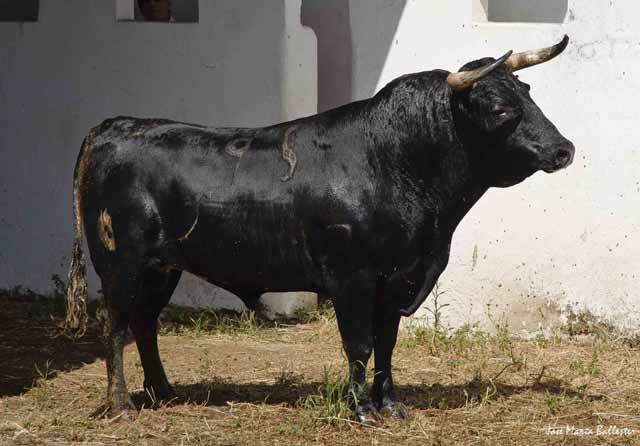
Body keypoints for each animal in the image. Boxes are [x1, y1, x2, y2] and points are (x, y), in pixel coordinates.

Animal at [65, 35, 576, 422]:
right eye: (499, 107)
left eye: (528, 93)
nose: (564, 149)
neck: (395, 162)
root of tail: (115, 126)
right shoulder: (351, 277)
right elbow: (360, 343)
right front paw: (361, 410)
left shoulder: (397, 278)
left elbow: (386, 344)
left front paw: (391, 405)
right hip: (120, 264)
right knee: (116, 325)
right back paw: (121, 405)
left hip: (162, 268)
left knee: (145, 323)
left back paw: (163, 393)